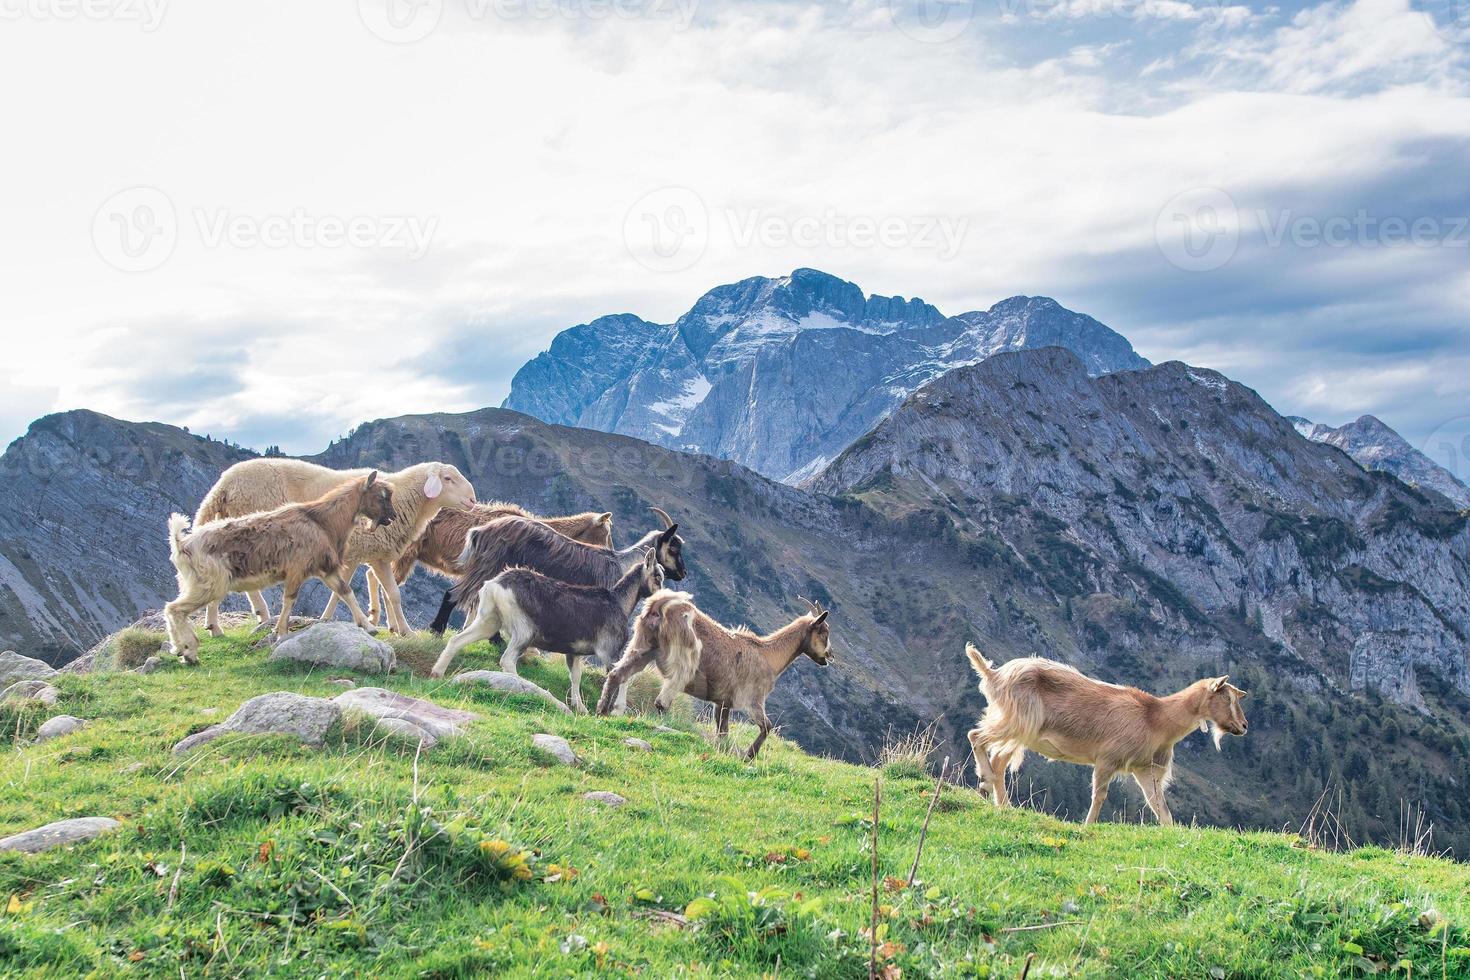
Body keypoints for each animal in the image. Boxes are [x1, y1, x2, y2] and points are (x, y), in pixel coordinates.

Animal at [165, 470, 396, 664]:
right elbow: (290, 599)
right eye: (381, 495)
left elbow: (345, 592)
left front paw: (368, 627)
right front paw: (281, 632)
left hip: (195, 582)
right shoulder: (297, 569)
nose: (392, 517)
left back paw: (180, 648)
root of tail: (182, 544)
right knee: (175, 609)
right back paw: (189, 651)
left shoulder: (325, 568)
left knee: (174, 610)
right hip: (208, 583)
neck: (322, 522)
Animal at [426, 505, 687, 637]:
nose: (683, 574)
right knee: (453, 594)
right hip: (488, 568)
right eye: (674, 548)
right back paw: (437, 630)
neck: (620, 564)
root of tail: (479, 532)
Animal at [429, 543, 664, 714]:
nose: (660, 597)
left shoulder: (574, 652)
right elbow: (620, 675)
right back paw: (527, 688)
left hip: (488, 621)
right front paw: (617, 710)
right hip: (523, 632)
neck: (618, 603)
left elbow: (576, 676)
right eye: (657, 576)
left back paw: (437, 673)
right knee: (507, 660)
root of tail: (495, 585)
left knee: (457, 640)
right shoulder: (608, 651)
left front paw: (580, 708)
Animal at [593, 593, 829, 764]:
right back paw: (668, 727)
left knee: (617, 673)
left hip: (643, 646)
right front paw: (749, 755)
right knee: (661, 702)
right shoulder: (752, 699)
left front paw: (725, 750)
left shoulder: (722, 702)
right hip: (683, 660)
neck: (768, 655)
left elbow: (723, 731)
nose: (829, 656)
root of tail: (660, 605)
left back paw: (602, 711)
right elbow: (767, 726)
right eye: (823, 632)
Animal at [964, 643, 1252, 828]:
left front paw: (1171, 832)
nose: (1244, 726)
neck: (1156, 717)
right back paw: (986, 782)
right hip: (1015, 721)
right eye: (1227, 698)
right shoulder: (1107, 759)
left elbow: (1159, 806)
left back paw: (1001, 803)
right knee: (975, 735)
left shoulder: (1144, 769)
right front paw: (1088, 826)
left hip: (1021, 731)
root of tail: (994, 674)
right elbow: (1099, 796)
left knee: (998, 759)